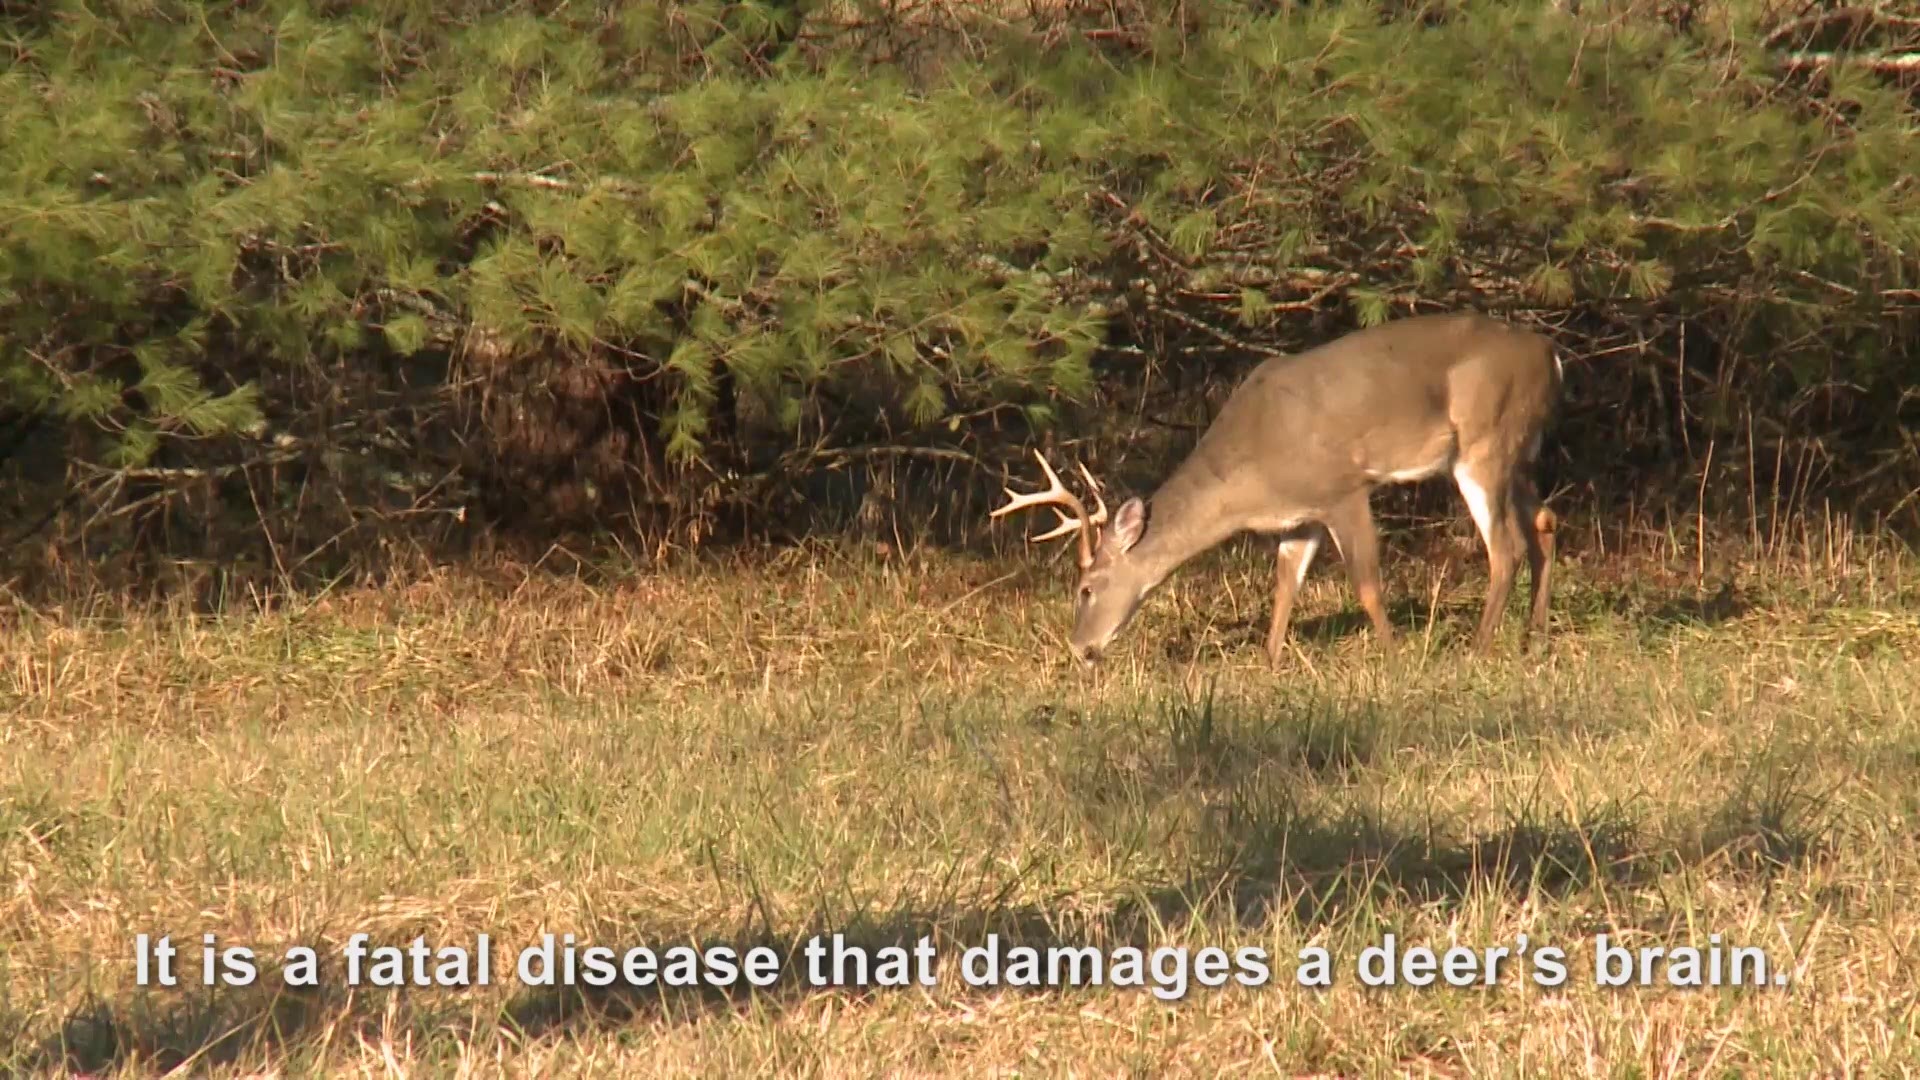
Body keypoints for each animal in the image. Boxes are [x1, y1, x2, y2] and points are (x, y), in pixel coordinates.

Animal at [990, 309, 1559, 664]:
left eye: (1086, 588)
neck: (1250, 477)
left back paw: (1478, 648)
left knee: (1505, 547)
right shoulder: (1299, 515)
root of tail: (1550, 355)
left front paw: (1395, 657)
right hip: (1518, 451)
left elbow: (1367, 585)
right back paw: (1533, 636)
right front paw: (1271, 661)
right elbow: (1284, 586)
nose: (1079, 649)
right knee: (1545, 523)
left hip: (1484, 441)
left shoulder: (1342, 487)